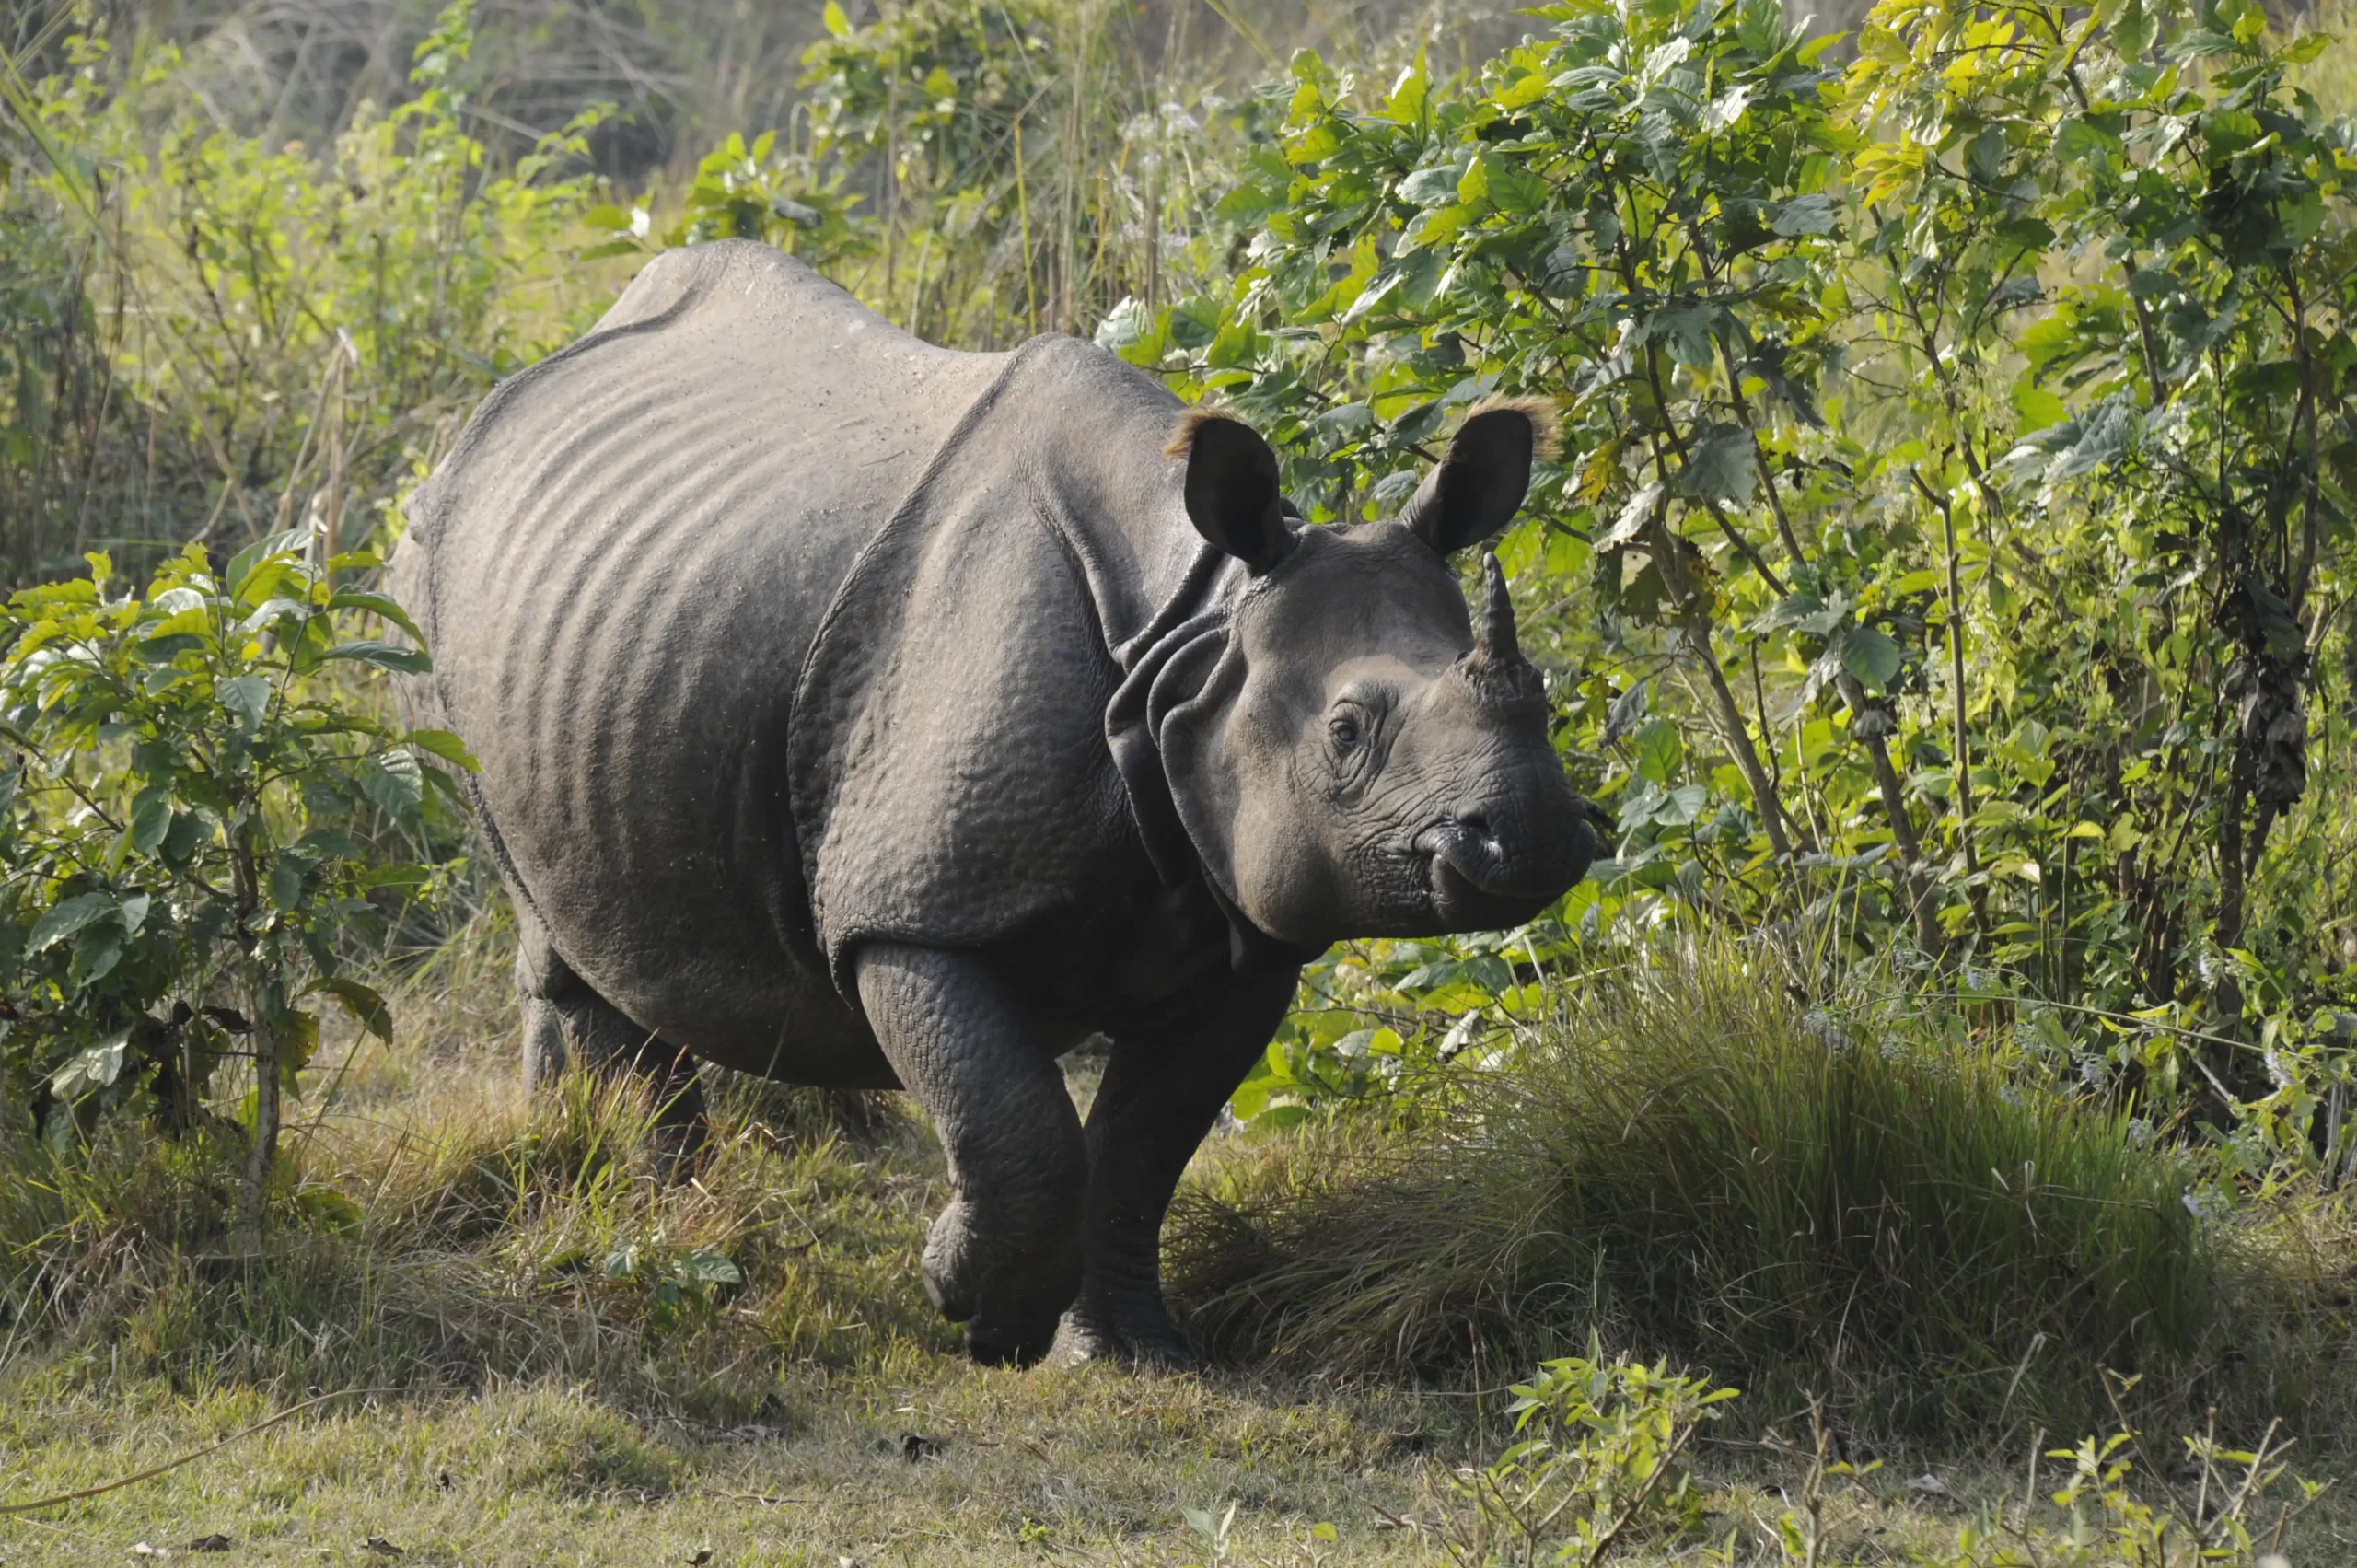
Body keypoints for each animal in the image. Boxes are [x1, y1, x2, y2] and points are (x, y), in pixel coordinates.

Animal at [390, 239, 1598, 1366]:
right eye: (1346, 732)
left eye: (1547, 699)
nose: (1530, 837)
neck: (1192, 638)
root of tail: (499, 404)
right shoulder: (909, 910)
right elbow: (1018, 1127)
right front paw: (970, 1302)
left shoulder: (1239, 923)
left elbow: (1140, 1149)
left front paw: (1127, 1354)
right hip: (427, 586)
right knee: (554, 917)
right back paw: (653, 1223)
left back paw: (602, 1189)